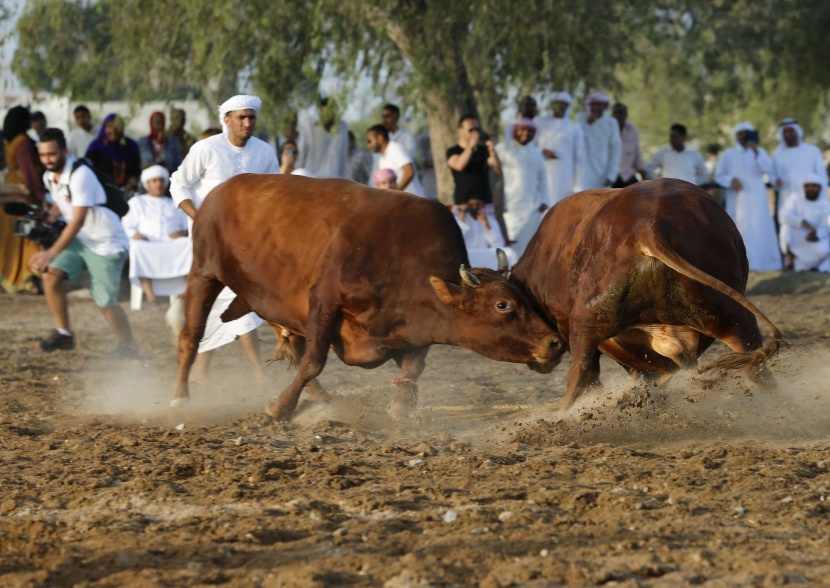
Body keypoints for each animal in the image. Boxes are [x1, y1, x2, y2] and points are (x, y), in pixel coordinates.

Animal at [175, 173, 564, 418]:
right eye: (503, 304)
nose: (555, 343)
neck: (403, 262)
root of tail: (220, 190)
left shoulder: (407, 334)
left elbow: (412, 369)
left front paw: (400, 410)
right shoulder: (324, 300)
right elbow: (314, 360)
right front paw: (279, 408)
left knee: (293, 345)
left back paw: (322, 399)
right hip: (204, 273)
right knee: (191, 337)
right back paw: (180, 397)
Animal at [512, 179, 788, 406]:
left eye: (505, 305)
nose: (548, 349)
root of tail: (648, 228)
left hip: (584, 319)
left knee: (581, 369)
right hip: (731, 316)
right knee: (756, 364)